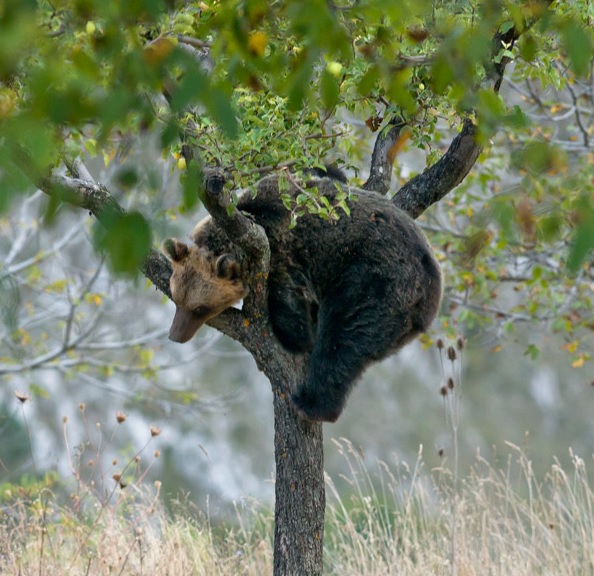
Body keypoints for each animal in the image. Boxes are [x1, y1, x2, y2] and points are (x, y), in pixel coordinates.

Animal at [162, 173, 440, 420]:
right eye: (176, 299)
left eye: (200, 308)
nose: (175, 335)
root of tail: (431, 289)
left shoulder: (283, 255)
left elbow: (291, 311)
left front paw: (293, 336)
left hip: (374, 281)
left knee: (344, 339)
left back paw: (311, 404)